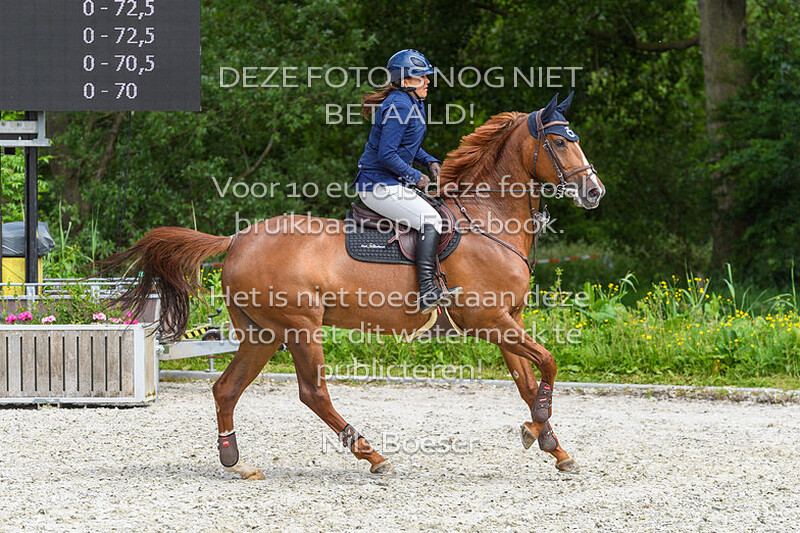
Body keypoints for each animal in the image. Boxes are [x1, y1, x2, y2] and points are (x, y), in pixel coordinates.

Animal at [103, 92, 605, 479]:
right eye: (559, 141)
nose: (594, 192)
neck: (489, 220)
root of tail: (238, 238)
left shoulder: (506, 319)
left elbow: (528, 380)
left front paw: (553, 445)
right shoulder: (488, 319)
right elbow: (549, 362)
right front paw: (538, 428)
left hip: (263, 334)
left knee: (227, 389)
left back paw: (236, 462)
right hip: (300, 327)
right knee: (313, 393)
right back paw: (374, 456)